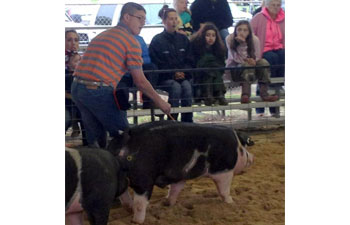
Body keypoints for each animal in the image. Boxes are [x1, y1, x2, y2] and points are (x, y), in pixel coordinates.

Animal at [107, 121, 254, 223]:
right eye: (246, 148)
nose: (252, 158)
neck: (237, 148)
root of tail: (126, 138)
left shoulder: (179, 176)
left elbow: (175, 189)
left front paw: (168, 203)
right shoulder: (223, 171)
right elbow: (224, 190)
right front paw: (231, 202)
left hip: (121, 178)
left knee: (123, 194)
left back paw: (129, 209)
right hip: (144, 178)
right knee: (139, 203)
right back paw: (137, 220)